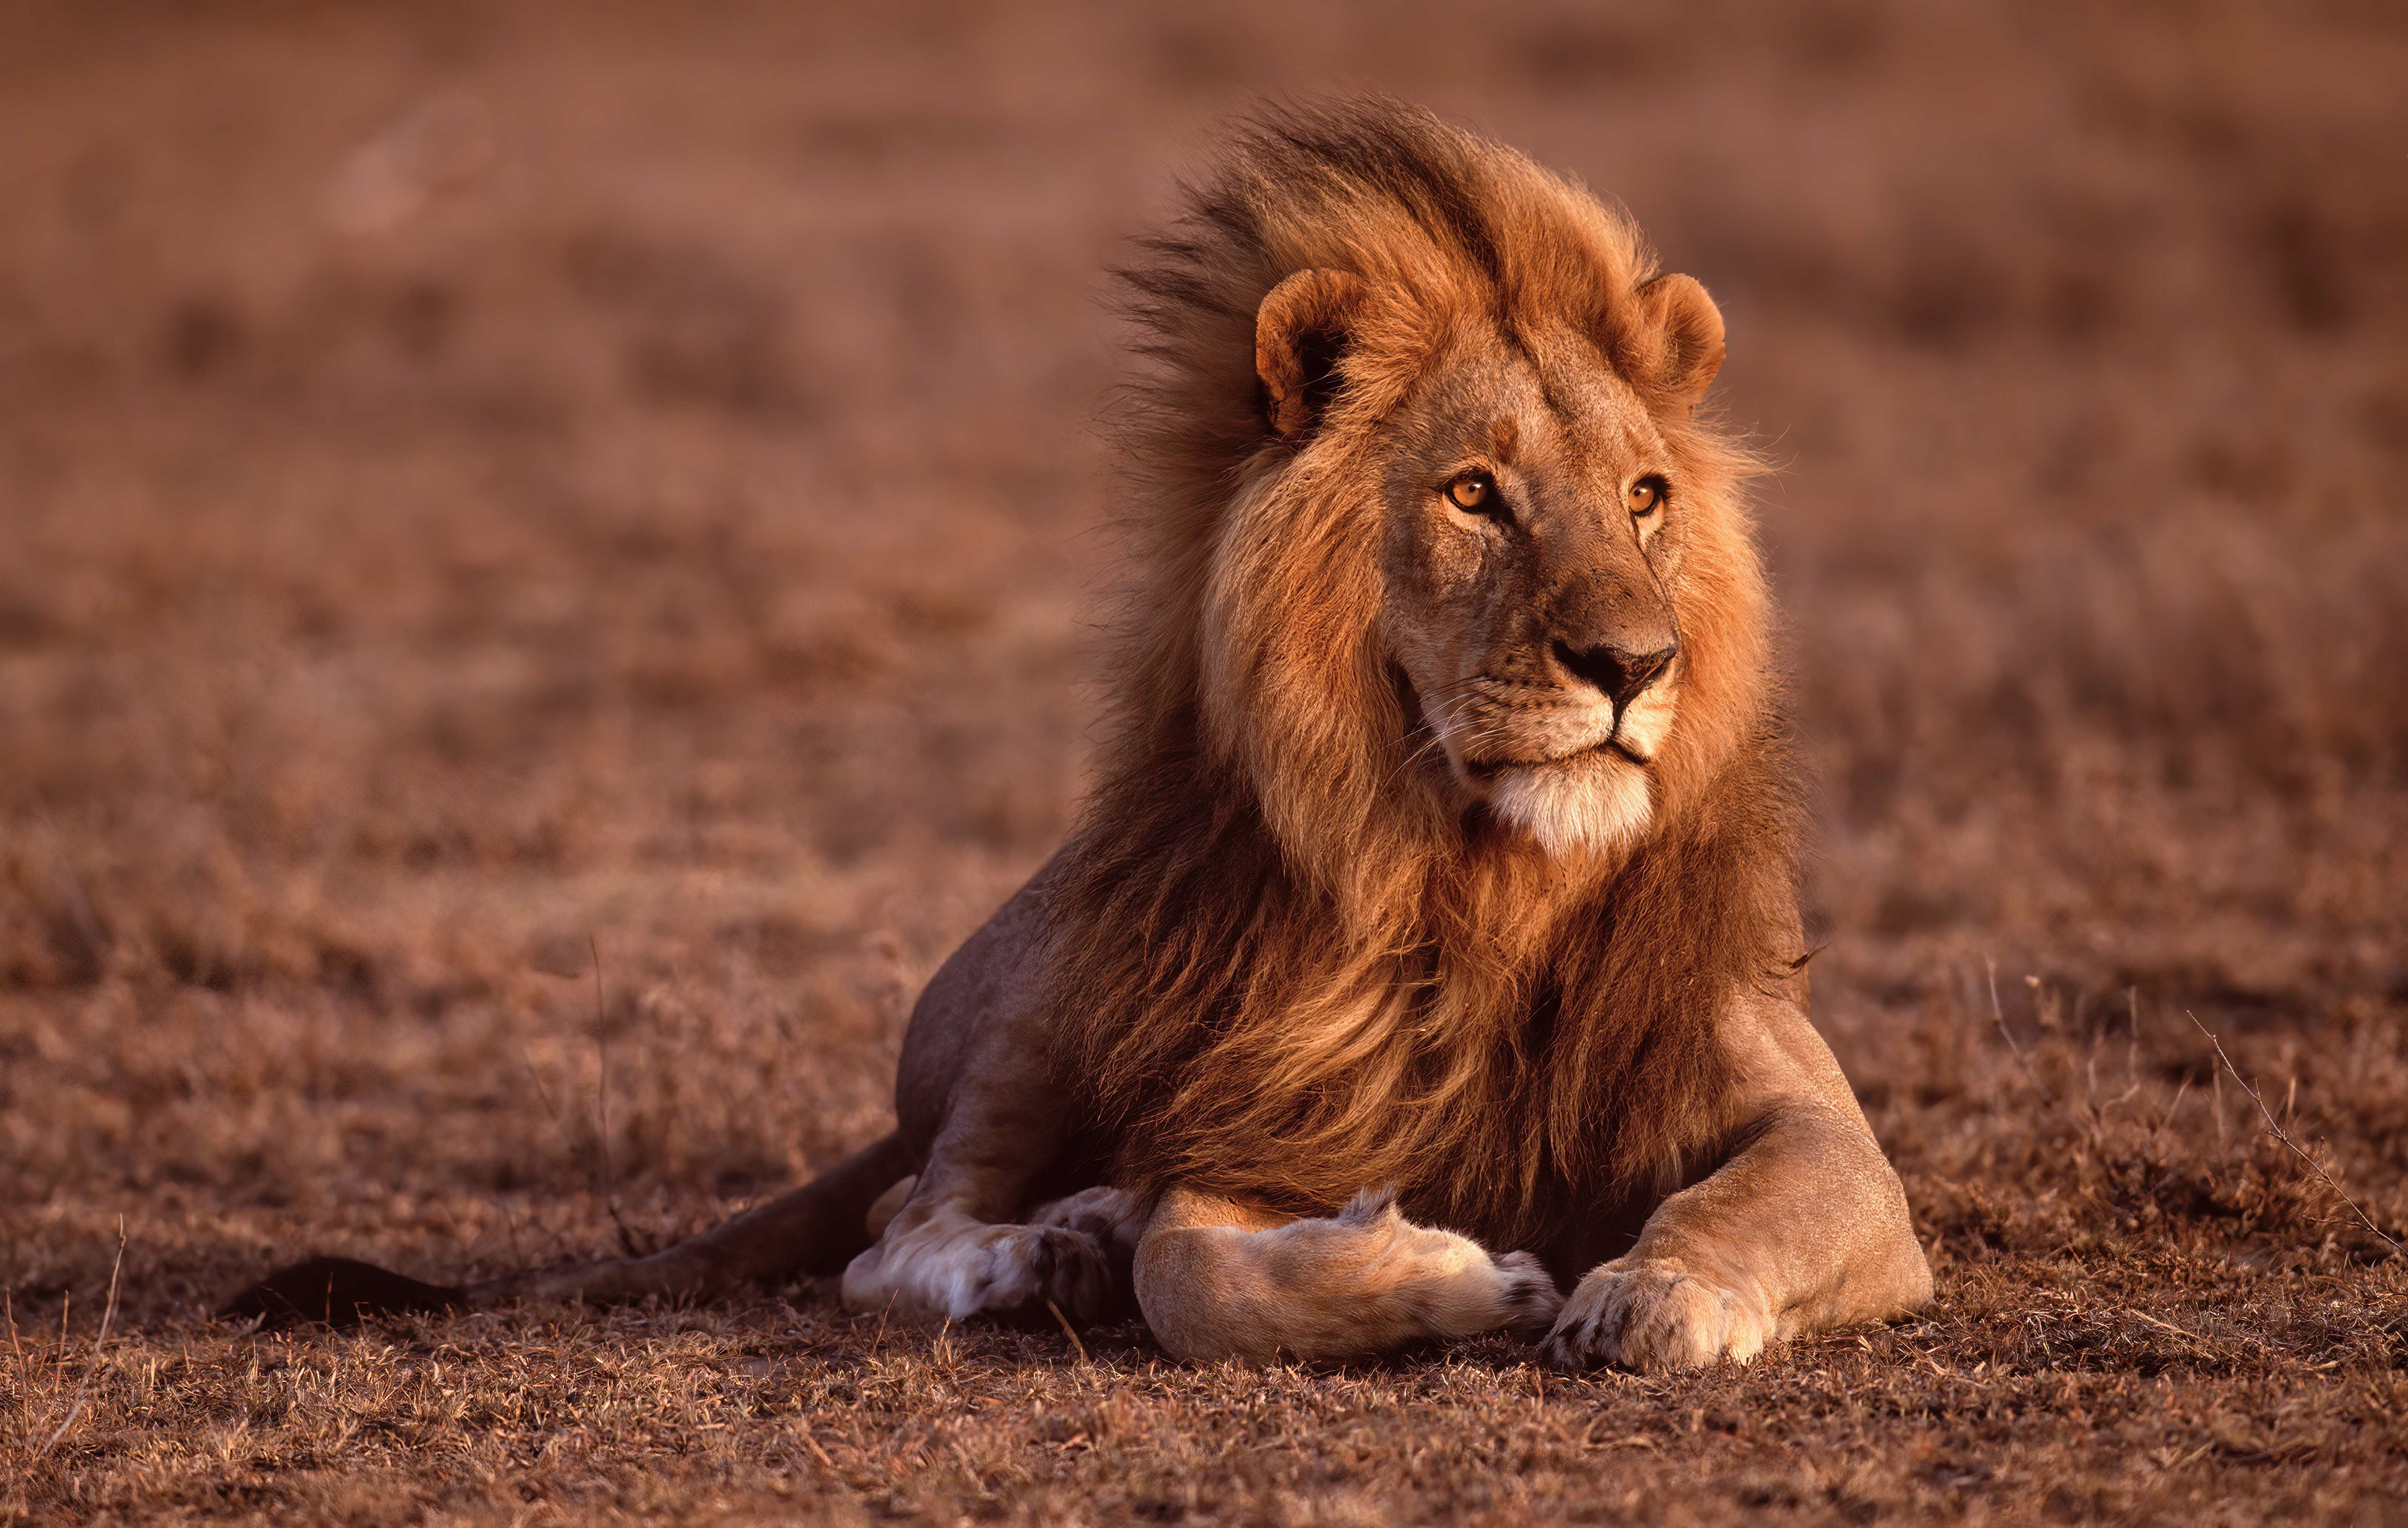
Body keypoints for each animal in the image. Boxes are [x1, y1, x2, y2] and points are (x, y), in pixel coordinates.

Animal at [227, 98, 1932, 1371]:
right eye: (1473, 494)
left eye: (1644, 496)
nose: (1633, 661)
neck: (1479, 881)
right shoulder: (1252, 1110)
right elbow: (1198, 1275)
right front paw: (1464, 1278)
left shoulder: (1822, 1128)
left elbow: (1757, 1202)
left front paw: (1652, 1294)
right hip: (1054, 983)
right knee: (896, 1225)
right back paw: (1045, 1253)